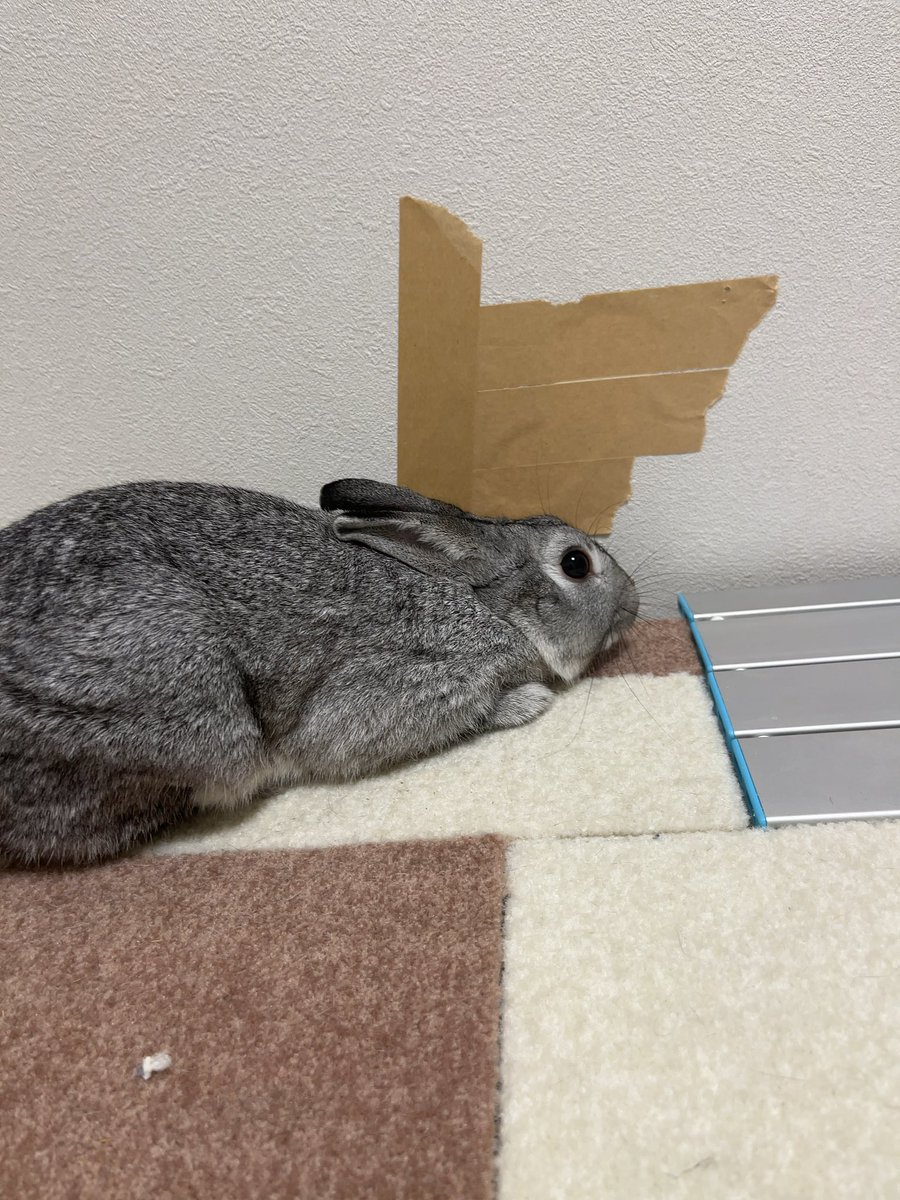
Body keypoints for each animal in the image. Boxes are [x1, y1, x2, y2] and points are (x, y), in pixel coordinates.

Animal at [0, 478, 638, 866]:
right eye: (575, 563)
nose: (634, 603)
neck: (489, 605)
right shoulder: (409, 685)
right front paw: (529, 701)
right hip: (191, 712)